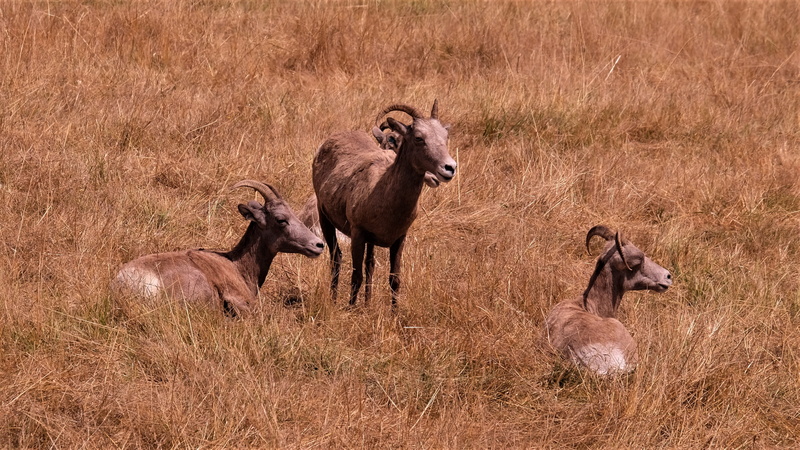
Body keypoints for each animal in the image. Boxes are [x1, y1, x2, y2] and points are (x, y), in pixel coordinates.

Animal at [312, 100, 457, 306]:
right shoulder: (358, 235)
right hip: (325, 219)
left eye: (445, 135)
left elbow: (394, 280)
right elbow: (356, 277)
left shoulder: (398, 239)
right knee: (336, 258)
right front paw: (350, 308)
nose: (449, 168)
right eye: (419, 138)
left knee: (368, 265)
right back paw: (333, 300)